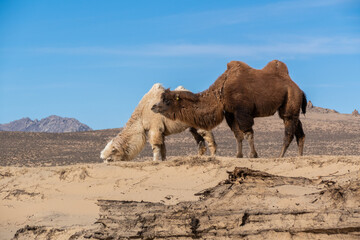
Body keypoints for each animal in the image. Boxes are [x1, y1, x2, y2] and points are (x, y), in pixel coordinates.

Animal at [152, 60, 306, 158]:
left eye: (166, 100)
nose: (154, 106)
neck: (221, 91)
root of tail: (299, 89)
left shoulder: (242, 111)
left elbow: (248, 133)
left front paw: (253, 155)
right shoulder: (230, 113)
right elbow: (237, 134)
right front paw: (238, 155)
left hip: (290, 101)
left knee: (289, 132)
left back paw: (280, 156)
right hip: (290, 107)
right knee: (299, 132)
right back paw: (299, 156)